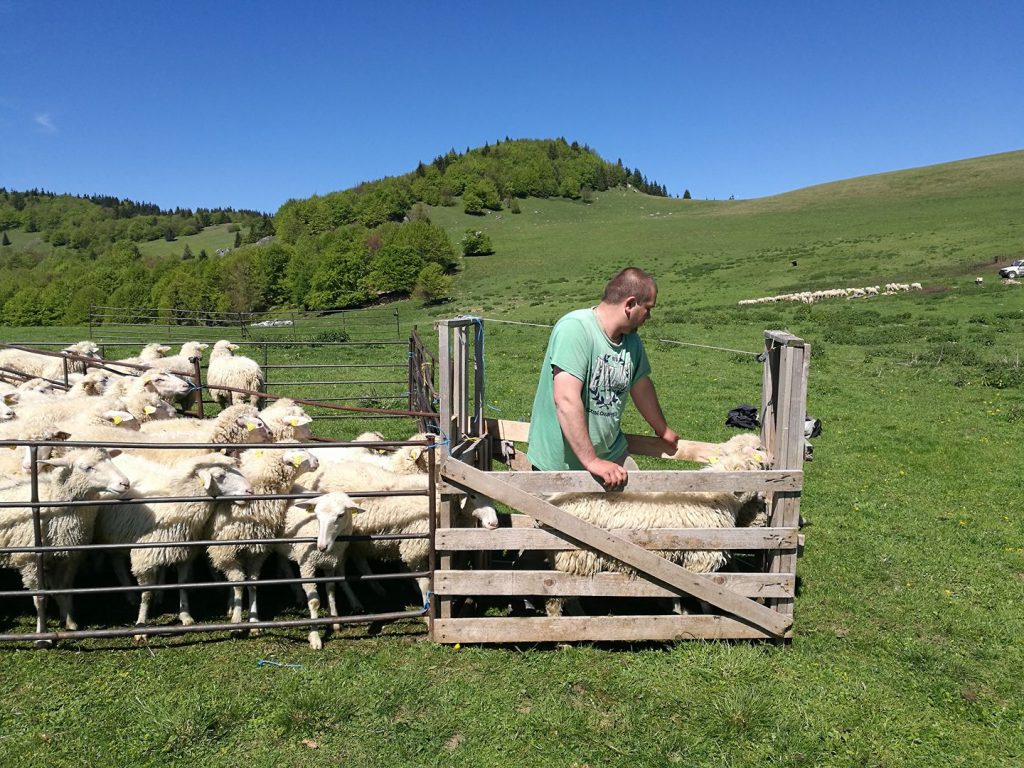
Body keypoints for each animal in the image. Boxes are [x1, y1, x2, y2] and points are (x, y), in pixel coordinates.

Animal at [0, 447, 130, 635]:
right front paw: (42, 632)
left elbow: (64, 590)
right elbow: (40, 598)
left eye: (111, 460)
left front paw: (69, 622)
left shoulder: (69, 556)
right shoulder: (31, 561)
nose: (125, 483)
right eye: (87, 467)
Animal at [93, 452, 253, 637]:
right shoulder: (144, 557)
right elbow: (146, 594)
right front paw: (141, 626)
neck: (175, 503)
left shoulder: (184, 552)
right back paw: (131, 595)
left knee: (116, 561)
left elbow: (182, 586)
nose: (250, 490)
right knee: (117, 563)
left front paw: (185, 616)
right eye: (220, 475)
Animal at [204, 446, 319, 630]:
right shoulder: (225, 552)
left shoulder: (257, 551)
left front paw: (254, 621)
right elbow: (238, 583)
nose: (317, 461)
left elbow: (252, 584)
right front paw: (237, 620)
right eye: (297, 451)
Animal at [275, 492, 364, 649]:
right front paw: (315, 637)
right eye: (316, 515)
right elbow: (314, 602)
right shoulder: (307, 565)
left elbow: (331, 590)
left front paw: (334, 621)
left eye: (341, 515)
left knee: (283, 562)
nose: (322, 547)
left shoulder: (329, 564)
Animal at [541, 433, 769, 617]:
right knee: (555, 599)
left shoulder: (672, 558)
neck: (715, 495)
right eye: (757, 451)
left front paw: (677, 609)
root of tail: (554, 501)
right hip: (574, 557)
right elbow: (705, 594)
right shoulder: (701, 557)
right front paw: (707, 616)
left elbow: (675, 589)